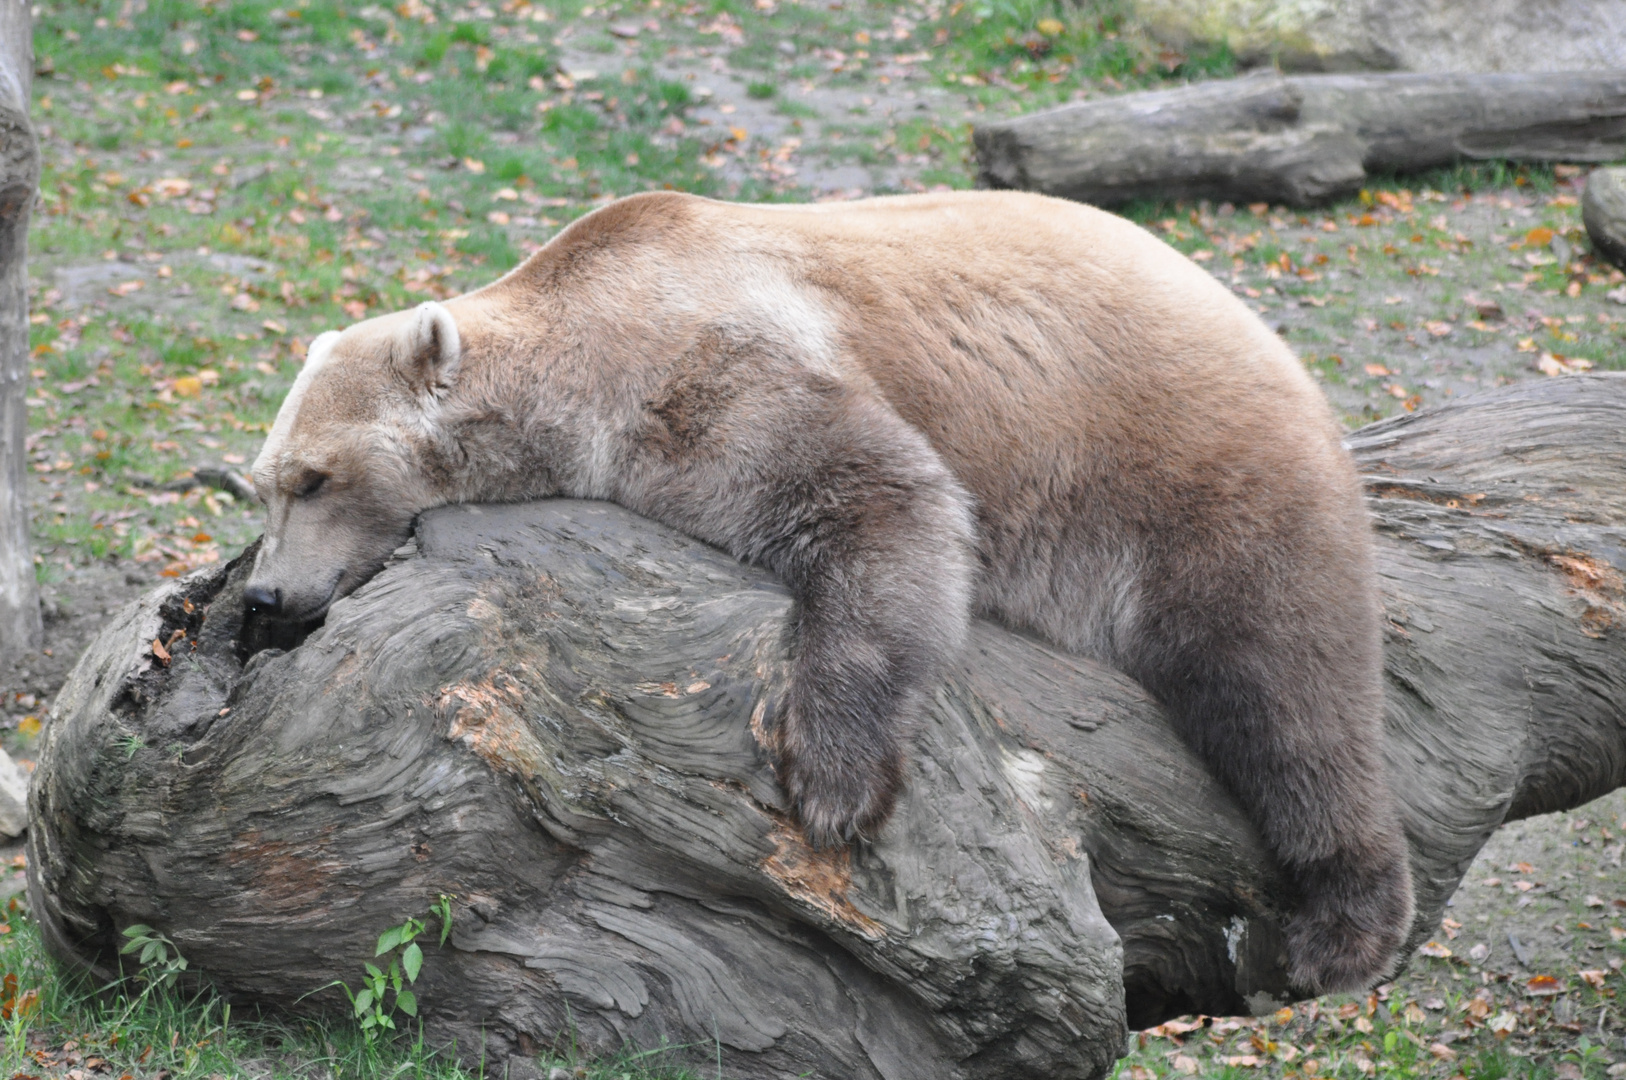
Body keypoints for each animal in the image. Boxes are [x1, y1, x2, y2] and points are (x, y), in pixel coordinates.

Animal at [240, 187, 1411, 995]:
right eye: (264, 480)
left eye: (315, 477)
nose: (266, 597)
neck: (585, 355)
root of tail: (1262, 328)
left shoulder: (714, 372)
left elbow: (880, 497)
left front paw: (834, 782)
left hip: (1187, 475)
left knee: (1284, 683)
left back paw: (1343, 920)